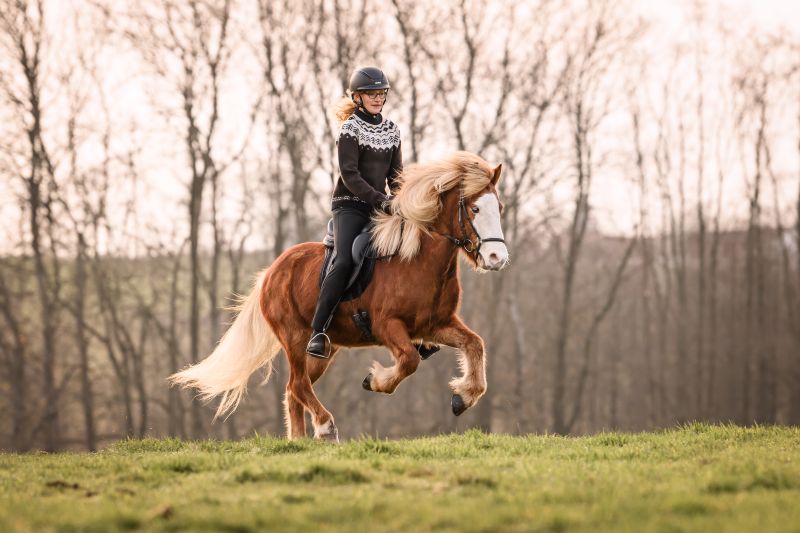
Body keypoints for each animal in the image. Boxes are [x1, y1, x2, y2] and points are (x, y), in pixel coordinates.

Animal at [169, 151, 510, 441]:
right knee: (298, 383)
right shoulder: (387, 326)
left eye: (500, 208)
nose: (497, 258)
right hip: (294, 337)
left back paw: (298, 440)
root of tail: (272, 271)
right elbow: (410, 360)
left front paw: (462, 396)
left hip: (324, 349)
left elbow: (474, 344)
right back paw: (325, 426)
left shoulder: (435, 325)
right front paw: (376, 380)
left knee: (294, 389)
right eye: (476, 208)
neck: (418, 261)